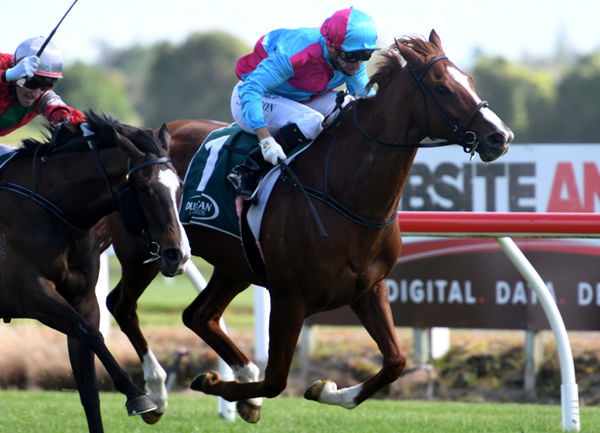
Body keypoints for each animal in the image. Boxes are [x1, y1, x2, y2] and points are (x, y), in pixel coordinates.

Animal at [0, 110, 190, 432]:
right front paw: (139, 396)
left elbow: (88, 386)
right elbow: (91, 334)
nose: (178, 255)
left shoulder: (83, 299)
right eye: (144, 188)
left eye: (179, 185)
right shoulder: (29, 294)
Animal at [103, 31, 510, 422]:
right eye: (441, 87)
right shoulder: (289, 298)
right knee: (121, 305)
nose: (500, 136)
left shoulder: (369, 288)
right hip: (150, 250)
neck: (344, 193)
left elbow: (395, 362)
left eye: (469, 79)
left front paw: (327, 390)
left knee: (198, 315)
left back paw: (238, 377)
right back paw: (157, 392)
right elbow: (276, 380)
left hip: (235, 265)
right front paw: (214, 383)